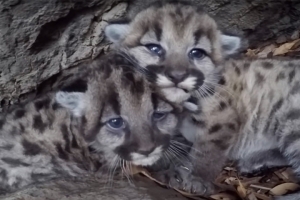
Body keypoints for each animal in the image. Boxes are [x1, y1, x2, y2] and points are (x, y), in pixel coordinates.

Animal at [106, 0, 300, 199]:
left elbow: (207, 150)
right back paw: (255, 162)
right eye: (154, 48)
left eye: (197, 53)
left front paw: (198, 179)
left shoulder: (222, 118)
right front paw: (173, 172)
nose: (177, 75)